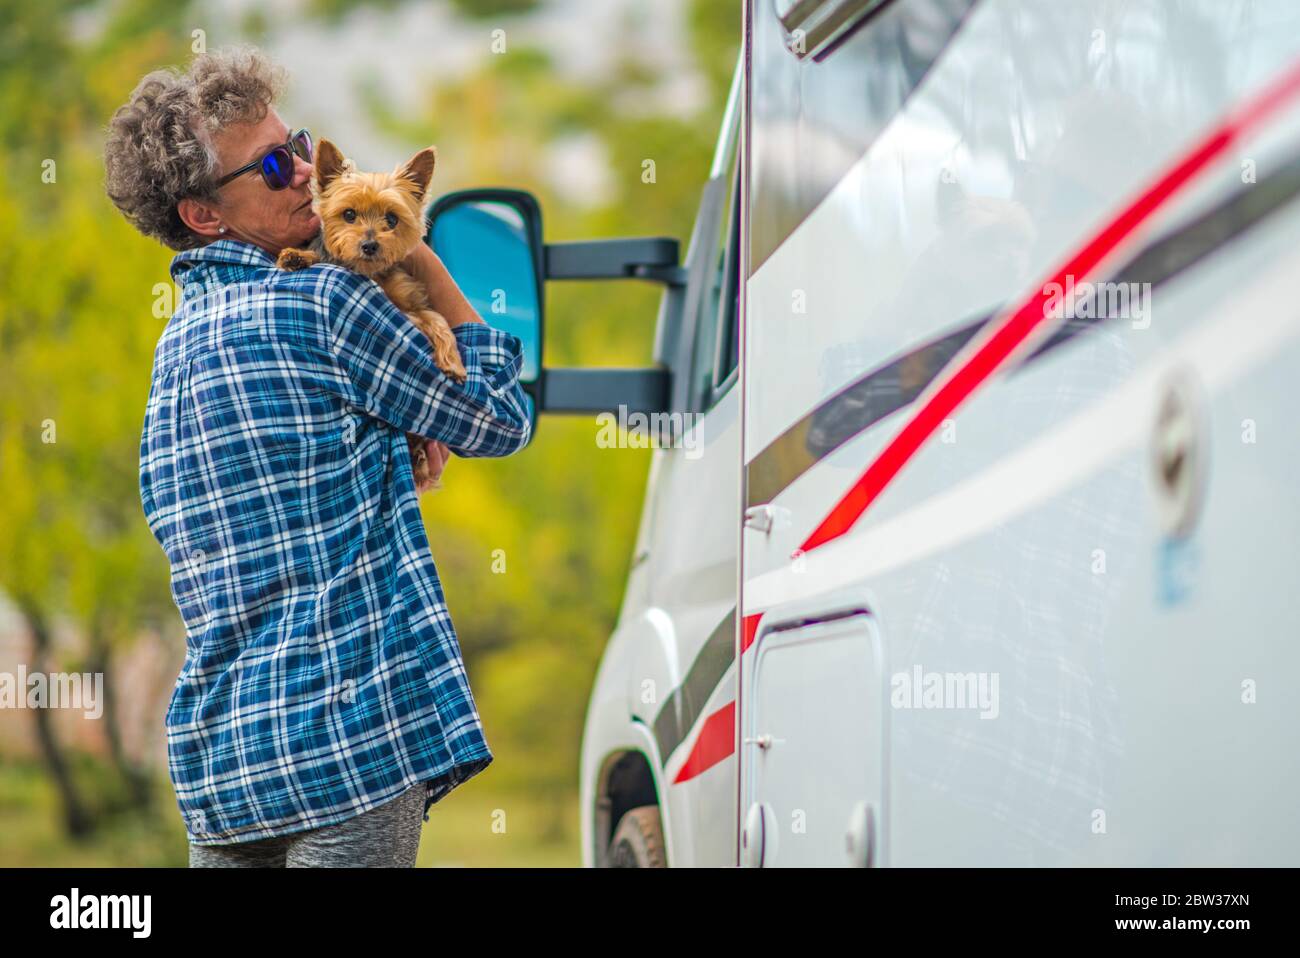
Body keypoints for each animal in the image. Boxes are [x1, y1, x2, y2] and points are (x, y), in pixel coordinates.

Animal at [276, 138, 465, 488]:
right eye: (349, 214)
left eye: (391, 220)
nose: (370, 245)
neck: (371, 273)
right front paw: (297, 256)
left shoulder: (412, 298)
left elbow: (437, 321)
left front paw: (453, 362)